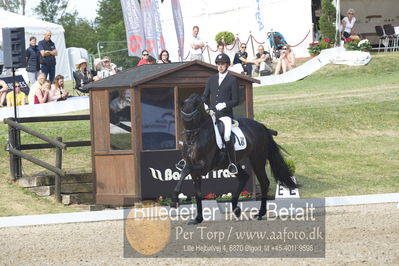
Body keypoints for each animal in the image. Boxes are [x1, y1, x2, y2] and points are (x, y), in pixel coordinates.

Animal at [172, 94, 300, 224]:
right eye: (183, 116)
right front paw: (198, 219)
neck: (198, 136)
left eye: (195, 116)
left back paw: (260, 213)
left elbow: (185, 170)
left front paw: (175, 200)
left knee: (264, 182)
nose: (189, 141)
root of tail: (261, 126)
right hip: (233, 162)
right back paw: (236, 208)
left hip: (257, 159)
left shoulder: (205, 166)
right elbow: (197, 192)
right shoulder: (195, 171)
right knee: (244, 177)